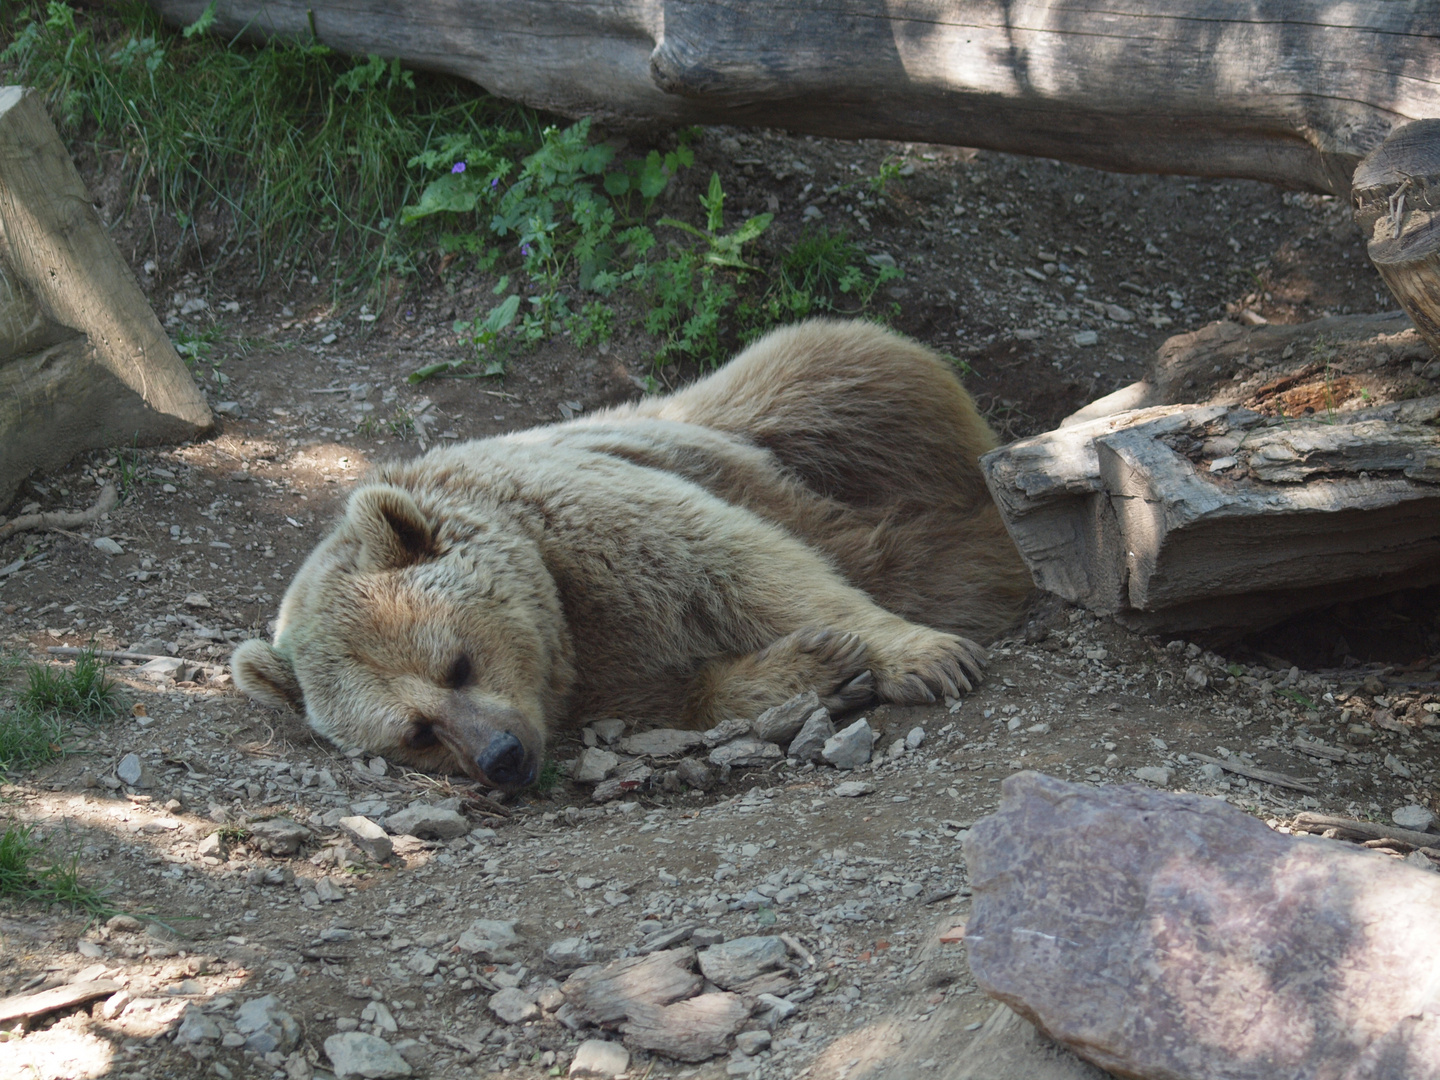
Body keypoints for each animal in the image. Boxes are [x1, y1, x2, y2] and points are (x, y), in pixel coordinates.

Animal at [230, 316, 1031, 789]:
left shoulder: (594, 519)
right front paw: (820, 669)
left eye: (457, 663)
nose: (503, 757)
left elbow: (752, 566)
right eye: (415, 733)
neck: (570, 625)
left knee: (854, 370)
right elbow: (686, 696)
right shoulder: (608, 682)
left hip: (786, 406)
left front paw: (925, 657)